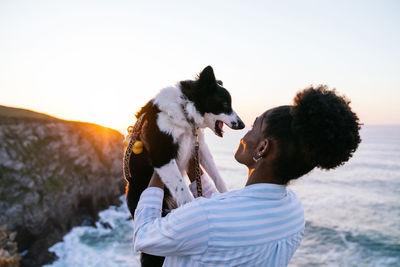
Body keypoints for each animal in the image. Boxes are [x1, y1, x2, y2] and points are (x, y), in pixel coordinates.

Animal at [124, 66, 244, 217]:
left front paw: (226, 195)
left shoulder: (199, 146)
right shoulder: (162, 156)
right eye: (224, 104)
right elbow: (184, 193)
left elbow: (217, 175)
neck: (184, 109)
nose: (242, 125)